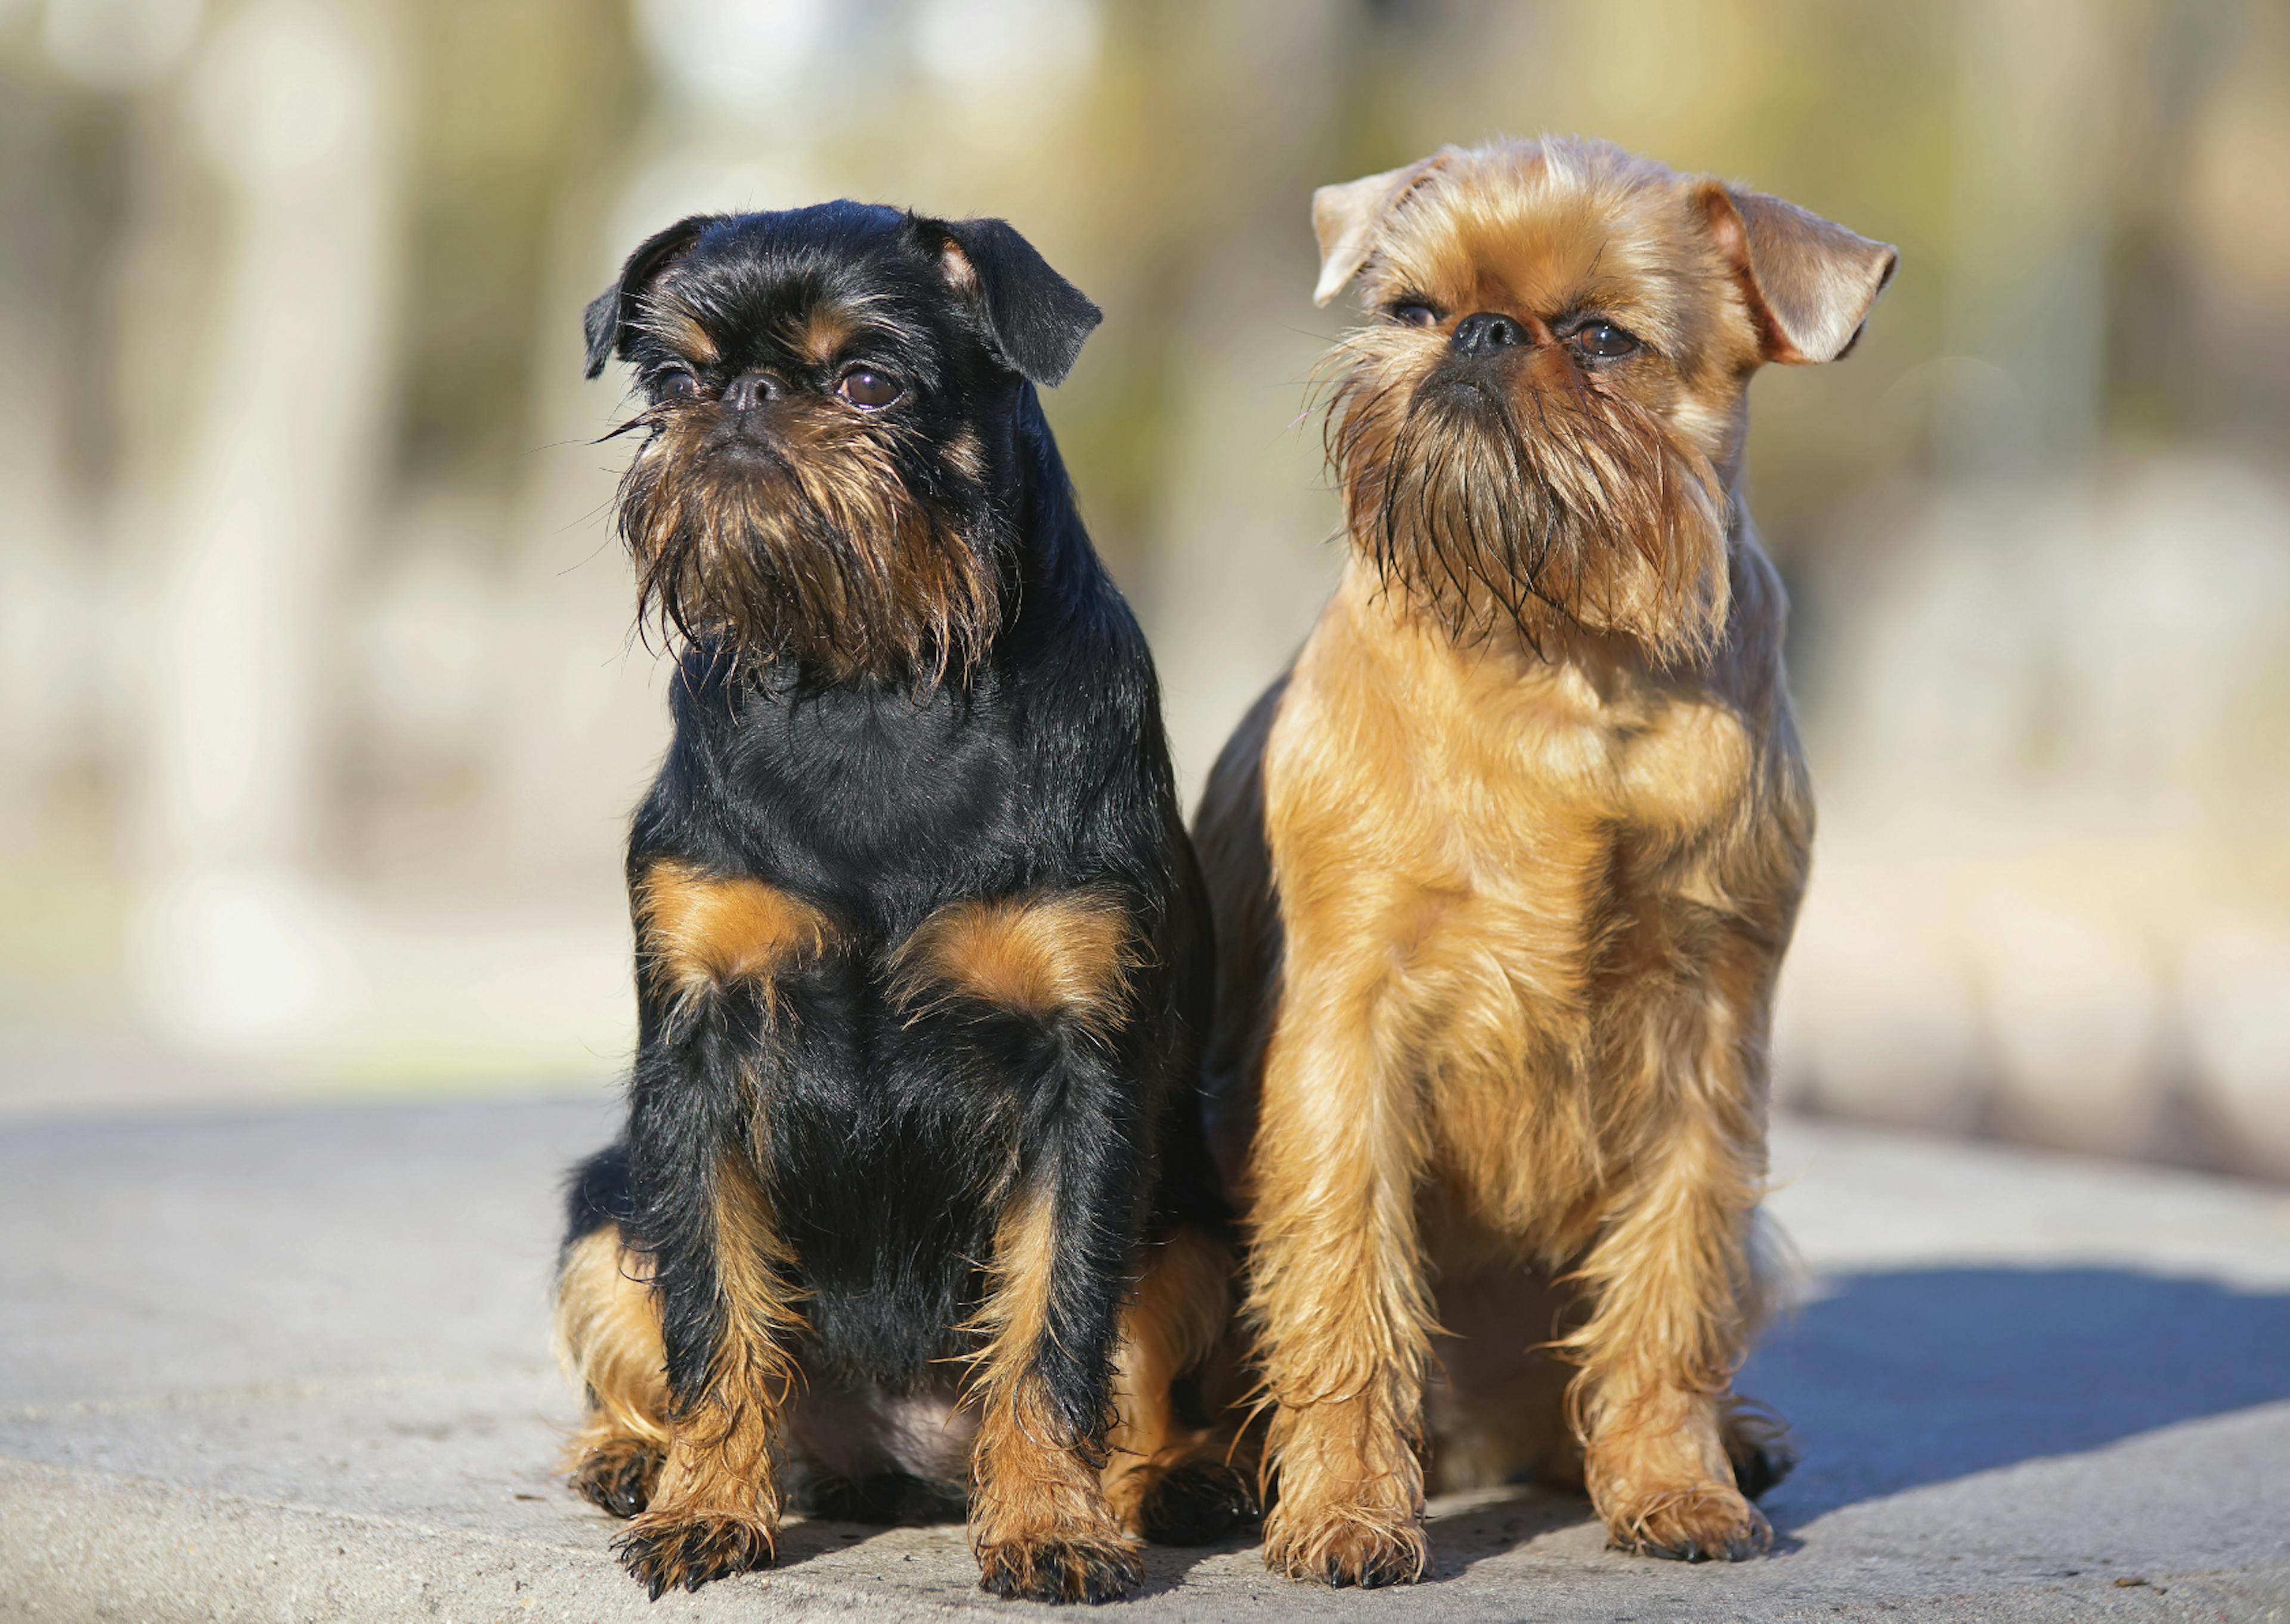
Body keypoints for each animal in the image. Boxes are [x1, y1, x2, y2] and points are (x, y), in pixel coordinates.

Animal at [556, 199, 1255, 1594]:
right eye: (676, 382)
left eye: (870, 382)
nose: (749, 395)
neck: (870, 682)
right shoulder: (696, 1057)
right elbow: (714, 1311)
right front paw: (707, 1506)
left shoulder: (1082, 1074)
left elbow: (1055, 1319)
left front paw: (1048, 1521)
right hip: (603, 1209)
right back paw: (634, 1457)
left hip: (1201, 1233)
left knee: (1138, 1390)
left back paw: (1166, 1482)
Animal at [1200, 139, 1896, 1585]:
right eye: (1409, 307)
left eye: (1601, 339)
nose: (1478, 333)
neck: (1563, 654)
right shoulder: (1345, 1037)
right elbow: (1345, 1279)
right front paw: (1344, 1508)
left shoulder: (1706, 1041)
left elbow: (1672, 1281)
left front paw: (1673, 1483)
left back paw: (1711, 1444)